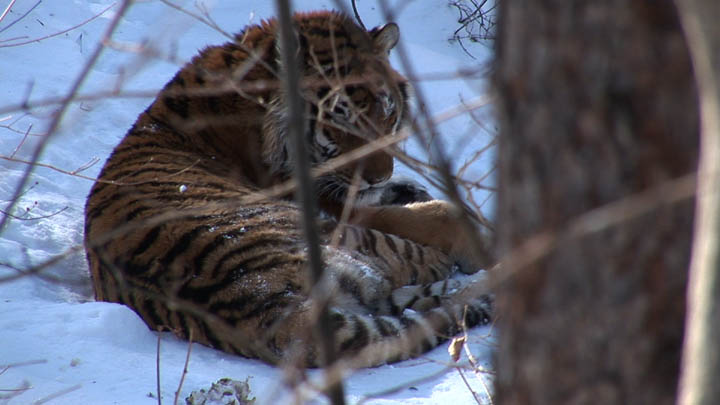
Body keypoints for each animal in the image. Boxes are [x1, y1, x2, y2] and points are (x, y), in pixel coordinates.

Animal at [84, 10, 493, 368]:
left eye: (387, 113)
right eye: (340, 119)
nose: (378, 176)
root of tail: (264, 308)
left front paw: (408, 188)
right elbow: (432, 216)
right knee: (412, 266)